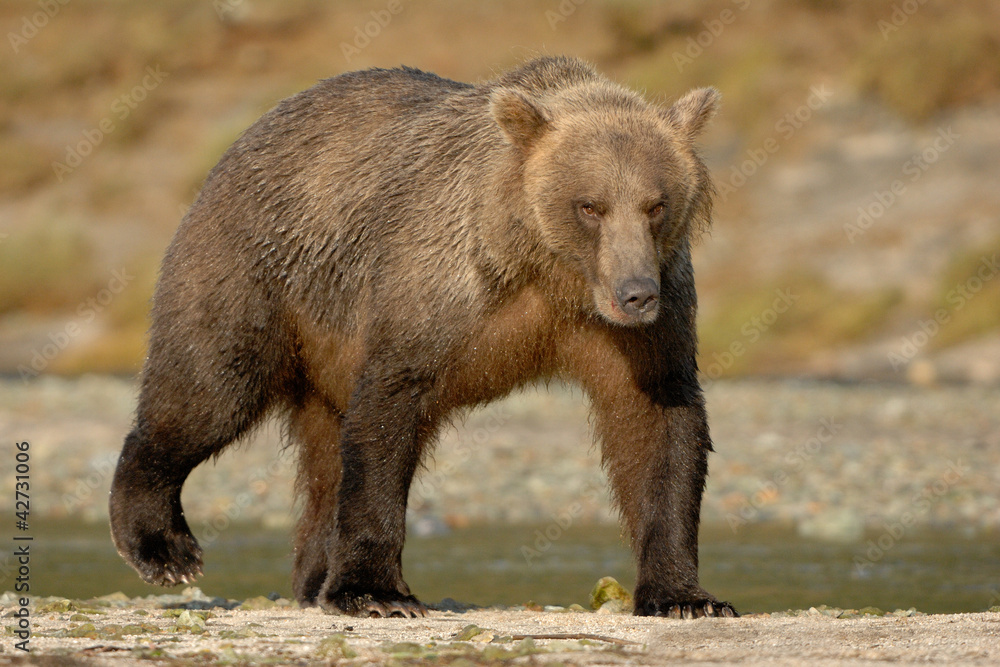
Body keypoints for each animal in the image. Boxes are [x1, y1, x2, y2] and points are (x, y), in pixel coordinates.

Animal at [109, 57, 740, 620]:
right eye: (590, 205)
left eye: (656, 204)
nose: (636, 294)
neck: (546, 269)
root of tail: (243, 139)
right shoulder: (438, 289)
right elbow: (388, 412)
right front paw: (377, 593)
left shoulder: (644, 328)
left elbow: (656, 425)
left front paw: (685, 597)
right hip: (254, 270)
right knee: (209, 387)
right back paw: (163, 547)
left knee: (322, 453)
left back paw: (314, 577)